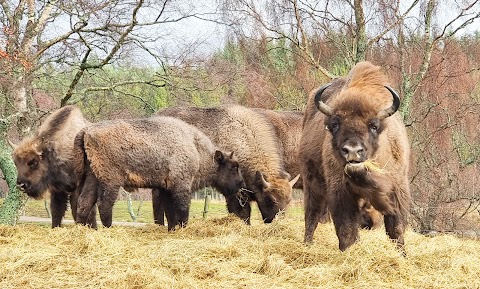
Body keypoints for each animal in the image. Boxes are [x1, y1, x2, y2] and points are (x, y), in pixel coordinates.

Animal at [73, 115, 246, 230]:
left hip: (92, 177)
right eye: (234, 167)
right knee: (104, 204)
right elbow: (182, 211)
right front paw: (182, 229)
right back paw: (109, 229)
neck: (196, 149)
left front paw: (172, 229)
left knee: (84, 202)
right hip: (111, 181)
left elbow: (170, 213)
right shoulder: (181, 187)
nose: (241, 183)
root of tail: (87, 130)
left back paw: (82, 229)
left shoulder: (165, 188)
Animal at [300, 61, 408, 252]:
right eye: (334, 124)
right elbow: (346, 230)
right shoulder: (341, 193)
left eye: (374, 126)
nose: (352, 150)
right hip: (311, 183)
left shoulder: (397, 189)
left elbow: (396, 229)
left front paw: (402, 255)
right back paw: (307, 245)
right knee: (311, 217)